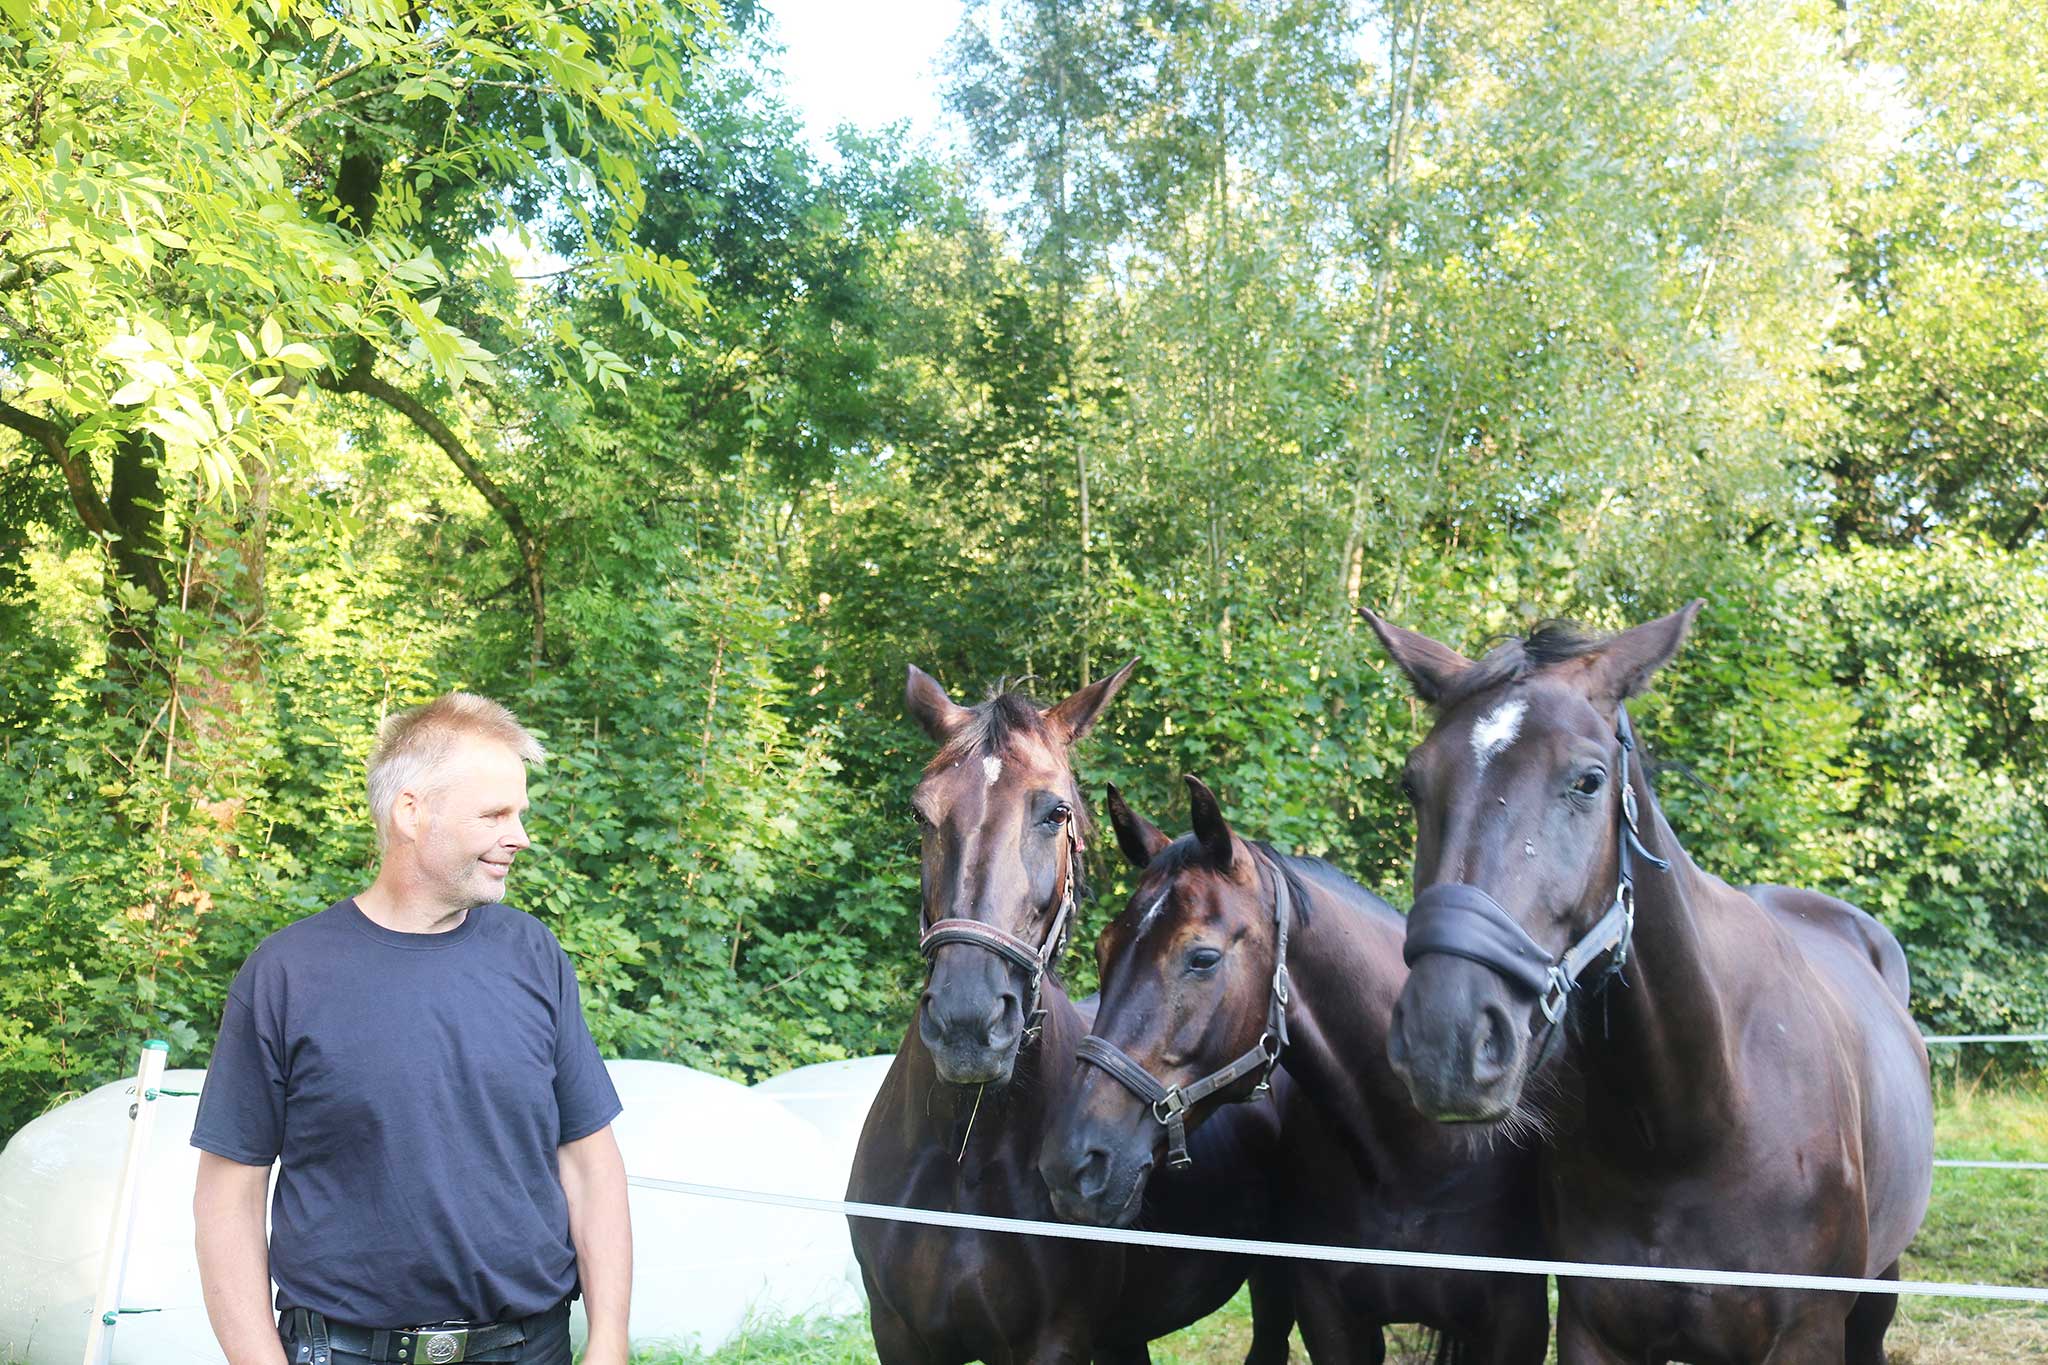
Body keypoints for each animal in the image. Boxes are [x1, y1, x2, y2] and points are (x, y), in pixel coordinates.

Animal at [847, 663, 1294, 1365]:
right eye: (922, 813)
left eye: (1055, 812)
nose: (968, 1024)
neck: (964, 1148)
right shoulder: (898, 1333)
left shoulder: (1053, 1340)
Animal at [1032, 777, 1540, 1365]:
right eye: (1102, 950)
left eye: (1202, 958)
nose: (1070, 1164)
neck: (1417, 1154)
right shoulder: (1329, 1316)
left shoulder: (1513, 1325)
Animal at [1368, 601, 1925, 1358]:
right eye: (1412, 783)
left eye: (1588, 780)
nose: (1444, 1040)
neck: (1687, 1123)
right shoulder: (1594, 1330)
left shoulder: (1807, 1336)